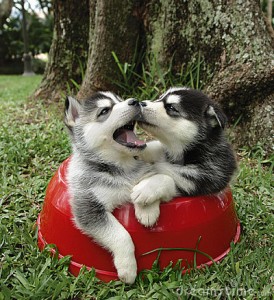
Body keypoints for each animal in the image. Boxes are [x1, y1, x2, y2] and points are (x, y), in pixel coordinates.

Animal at [65, 92, 176, 284]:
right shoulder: (88, 207)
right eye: (104, 110)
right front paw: (128, 269)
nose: (135, 101)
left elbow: (162, 179)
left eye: (120, 99)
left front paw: (147, 209)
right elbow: (121, 235)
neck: (121, 167)